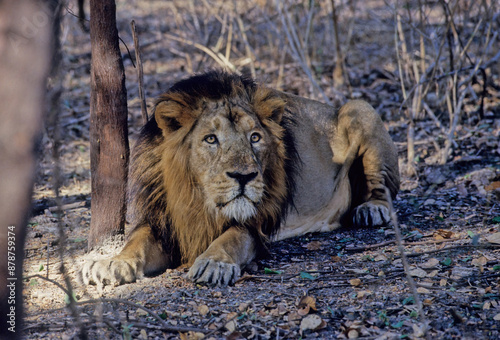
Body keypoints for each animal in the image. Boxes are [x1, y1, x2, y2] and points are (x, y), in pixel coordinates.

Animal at [83, 71, 402, 286]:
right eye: (211, 139)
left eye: (255, 137)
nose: (244, 176)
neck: (197, 201)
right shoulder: (163, 221)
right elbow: (136, 241)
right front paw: (113, 263)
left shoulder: (257, 224)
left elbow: (231, 238)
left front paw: (214, 263)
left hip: (359, 108)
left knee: (382, 188)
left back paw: (371, 209)